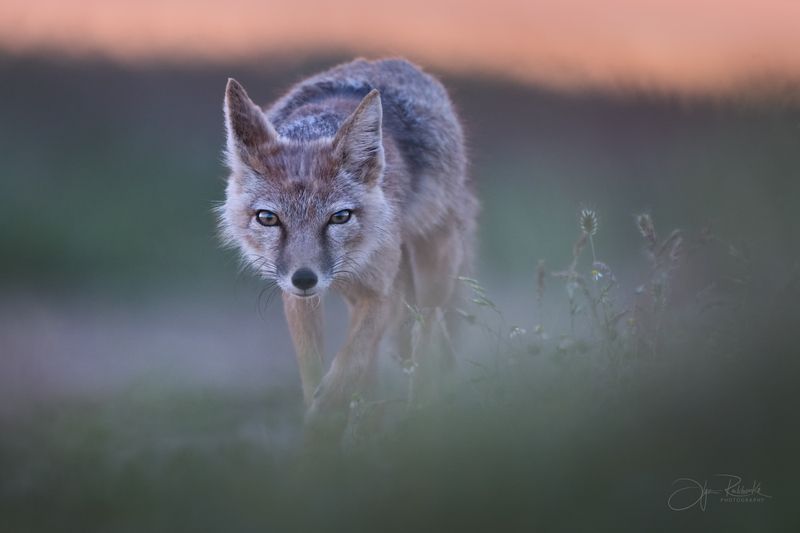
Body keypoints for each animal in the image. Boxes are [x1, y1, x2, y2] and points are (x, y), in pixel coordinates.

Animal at [219, 58, 478, 437]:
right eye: (268, 219)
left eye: (339, 217)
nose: (304, 278)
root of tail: (397, 62)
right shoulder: (298, 299)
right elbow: (315, 372)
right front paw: (322, 432)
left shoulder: (381, 293)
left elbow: (349, 361)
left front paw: (328, 414)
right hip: (361, 293)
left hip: (433, 272)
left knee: (426, 334)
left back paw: (420, 414)